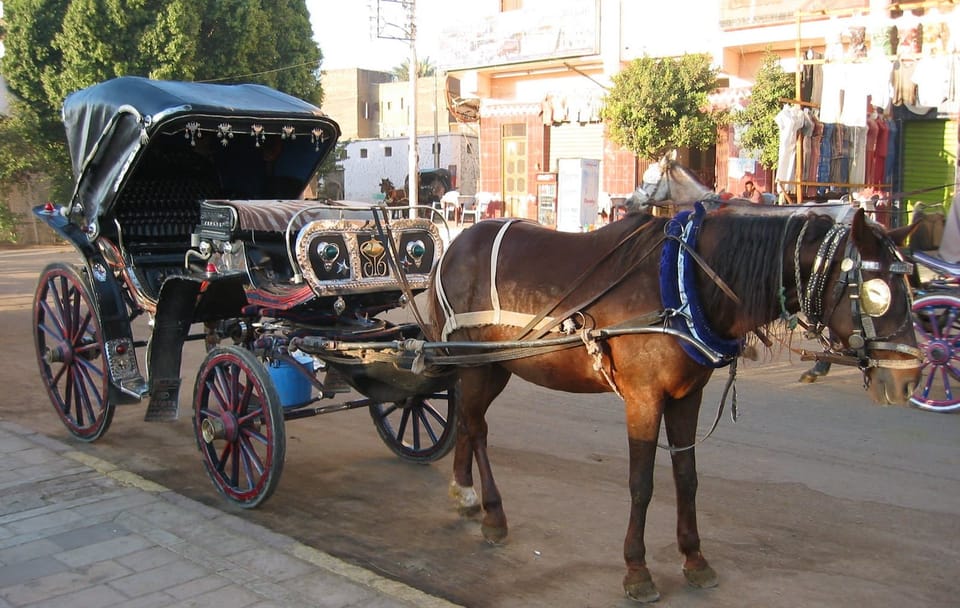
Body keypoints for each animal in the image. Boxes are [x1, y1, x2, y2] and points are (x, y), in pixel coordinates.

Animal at [427, 203, 921, 603]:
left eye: (912, 288)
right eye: (875, 293)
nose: (910, 379)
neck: (687, 284)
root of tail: (455, 246)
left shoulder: (688, 397)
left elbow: (687, 478)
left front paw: (695, 558)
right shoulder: (644, 399)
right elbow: (642, 483)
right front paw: (637, 569)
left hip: (494, 365)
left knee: (468, 421)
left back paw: (464, 491)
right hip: (474, 363)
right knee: (477, 427)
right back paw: (492, 512)